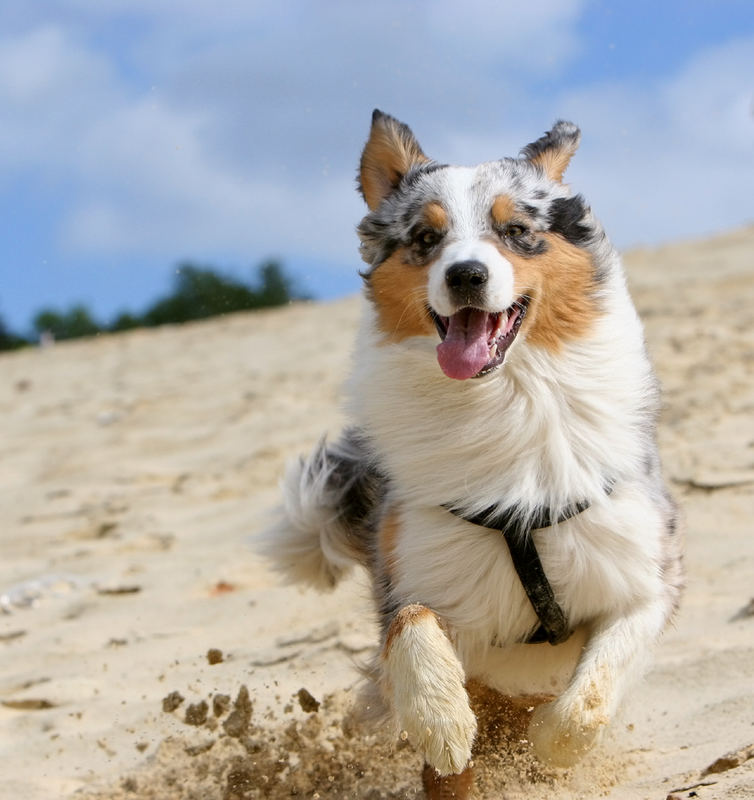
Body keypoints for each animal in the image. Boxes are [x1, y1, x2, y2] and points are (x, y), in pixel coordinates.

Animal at [262, 109, 680, 796]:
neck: (506, 400)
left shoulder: (643, 579)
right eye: (427, 238)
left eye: (516, 231)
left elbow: (586, 701)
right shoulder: (414, 568)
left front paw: (547, 747)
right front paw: (441, 720)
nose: (465, 275)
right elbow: (410, 627)